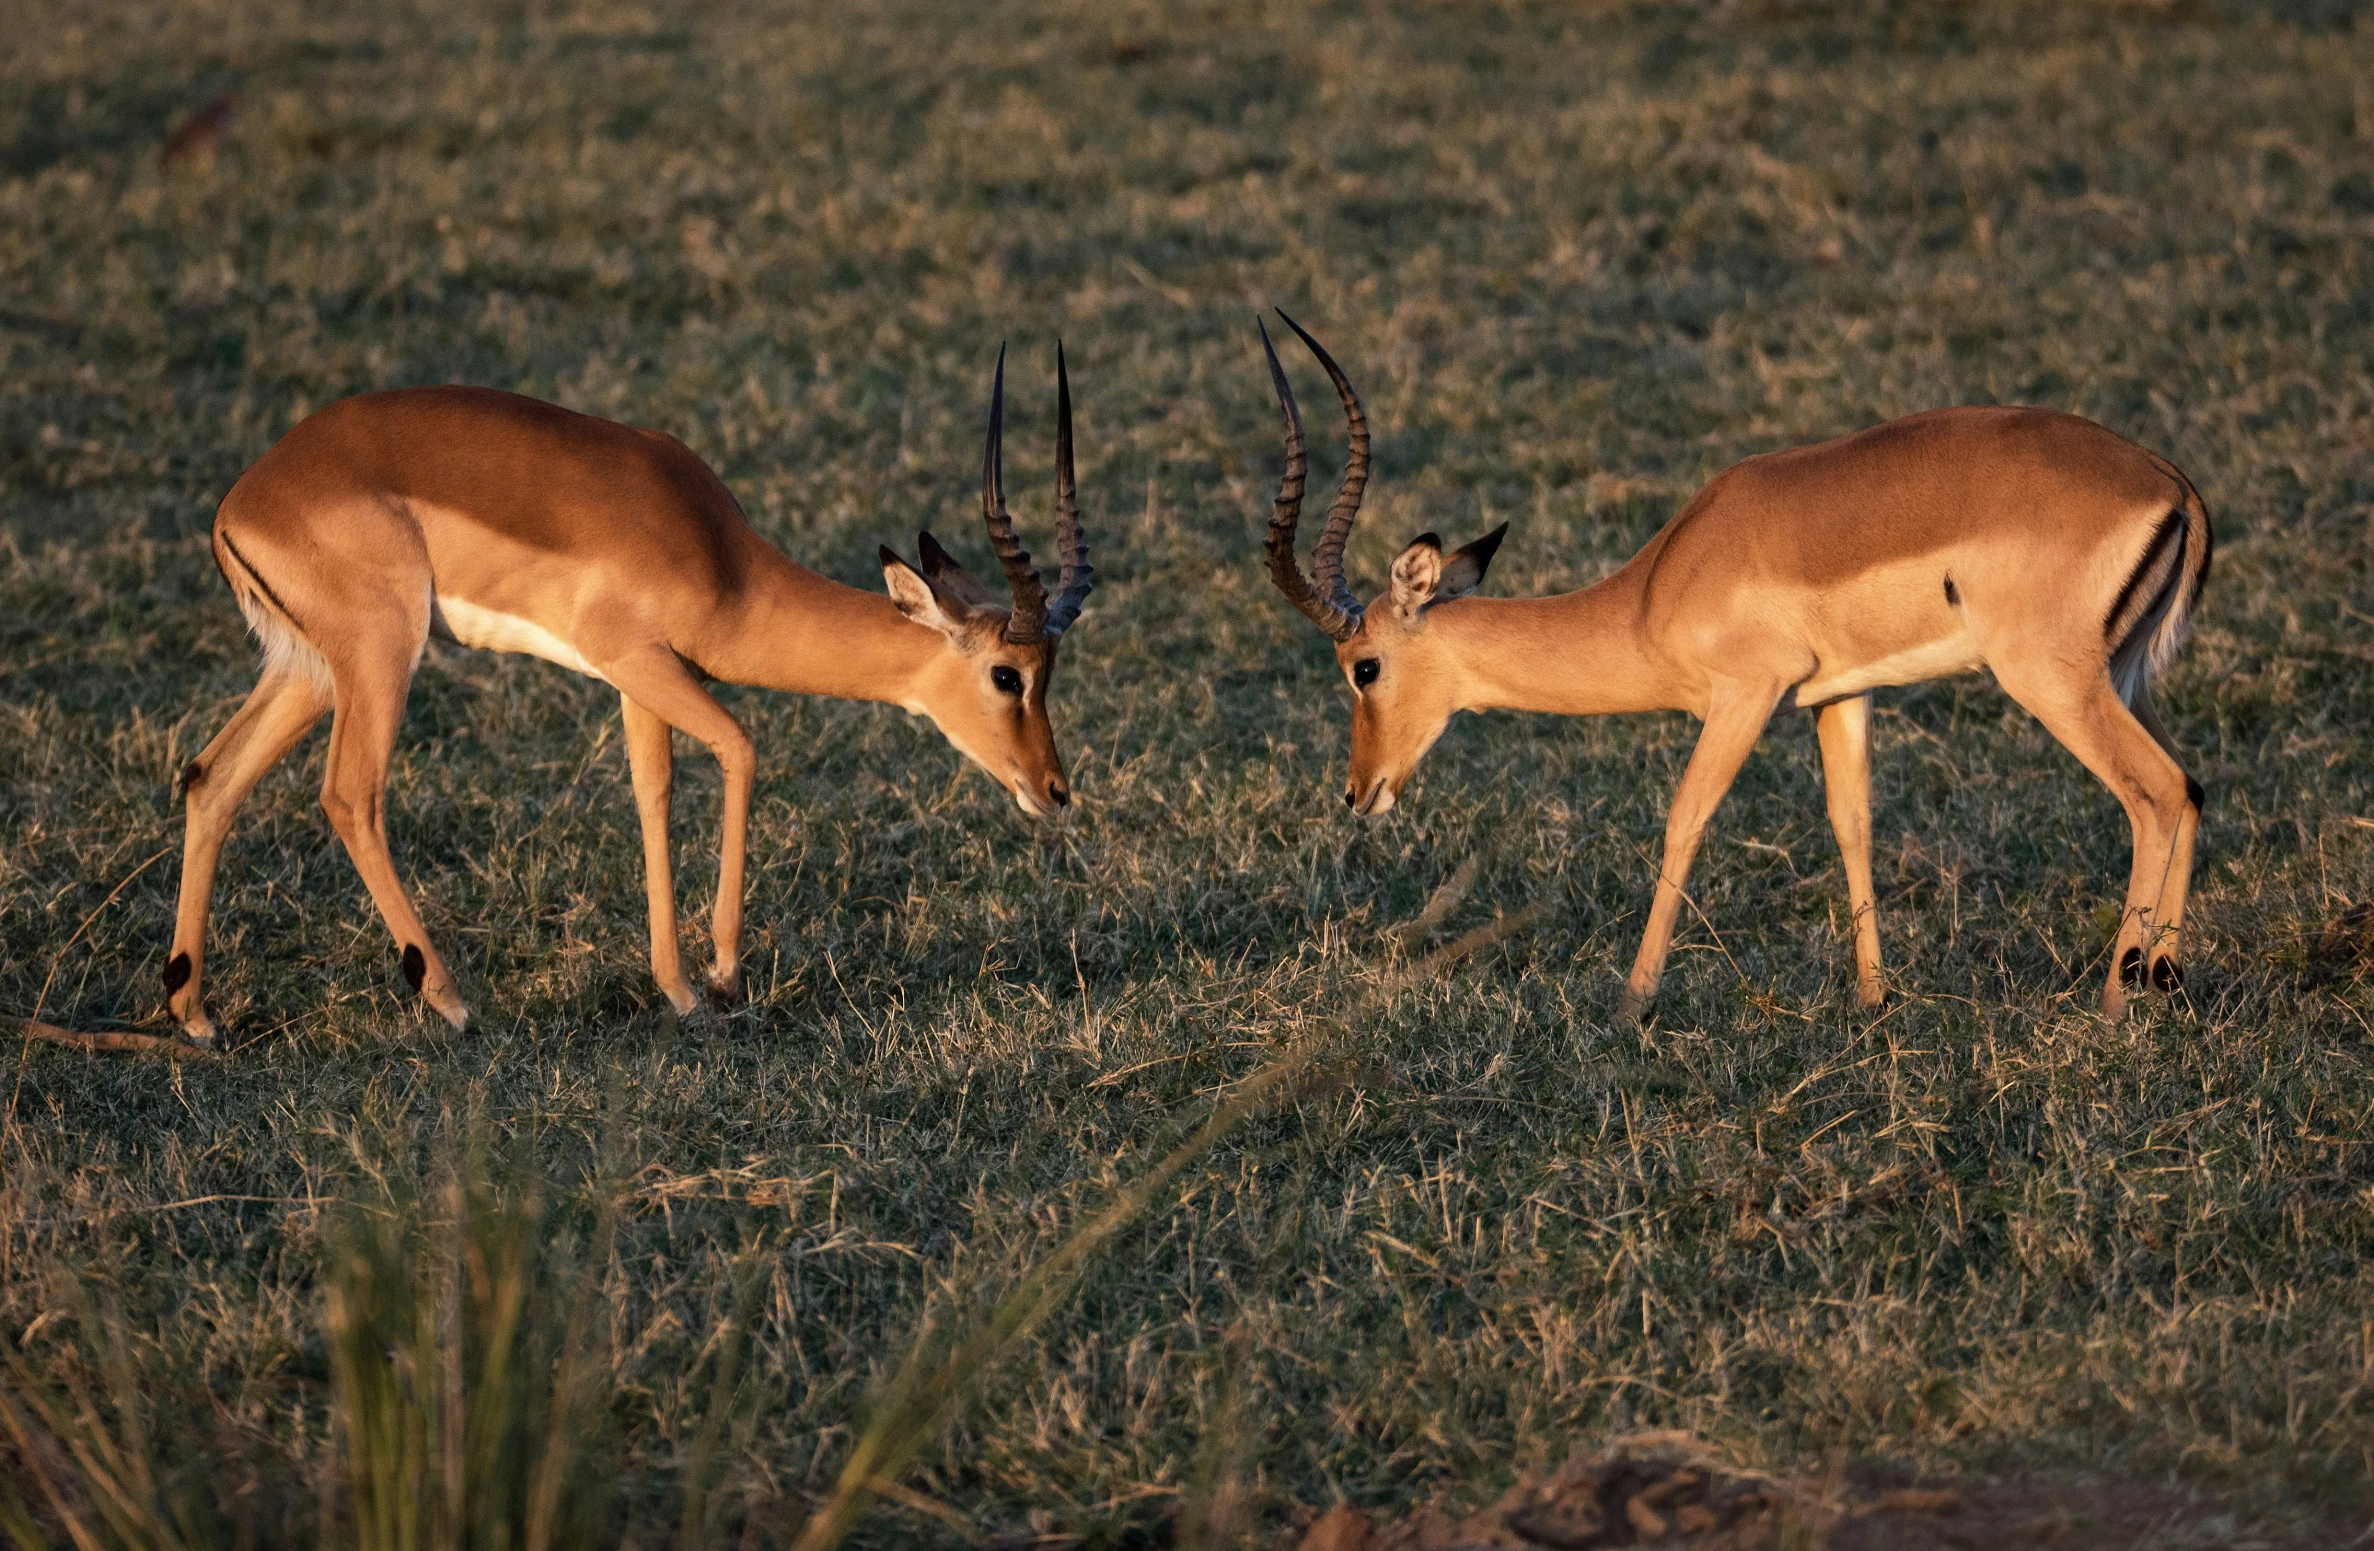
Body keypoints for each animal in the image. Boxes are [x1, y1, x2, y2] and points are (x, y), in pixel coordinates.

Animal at [167, 349, 1092, 1045]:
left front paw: (677, 988)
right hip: (382, 652)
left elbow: (654, 792)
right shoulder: (634, 658)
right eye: (1007, 674)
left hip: (310, 670)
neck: (721, 559)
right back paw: (453, 1000)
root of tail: (241, 503)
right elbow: (740, 748)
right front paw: (723, 977)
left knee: (212, 776)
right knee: (348, 792)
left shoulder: (639, 681)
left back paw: (194, 1013)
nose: (1055, 790)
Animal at [1262, 311, 2203, 1016]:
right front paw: (1873, 996)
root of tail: (2171, 483)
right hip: (2120, 678)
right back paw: (2166, 979)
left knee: (2153, 792)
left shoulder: (1747, 693)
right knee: (2191, 783)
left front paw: (1633, 1003)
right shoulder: (1840, 695)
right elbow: (1852, 822)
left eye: (1364, 667)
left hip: (2052, 682)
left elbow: (1685, 817)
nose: (1358, 791)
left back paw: (2115, 1001)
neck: (1656, 588)